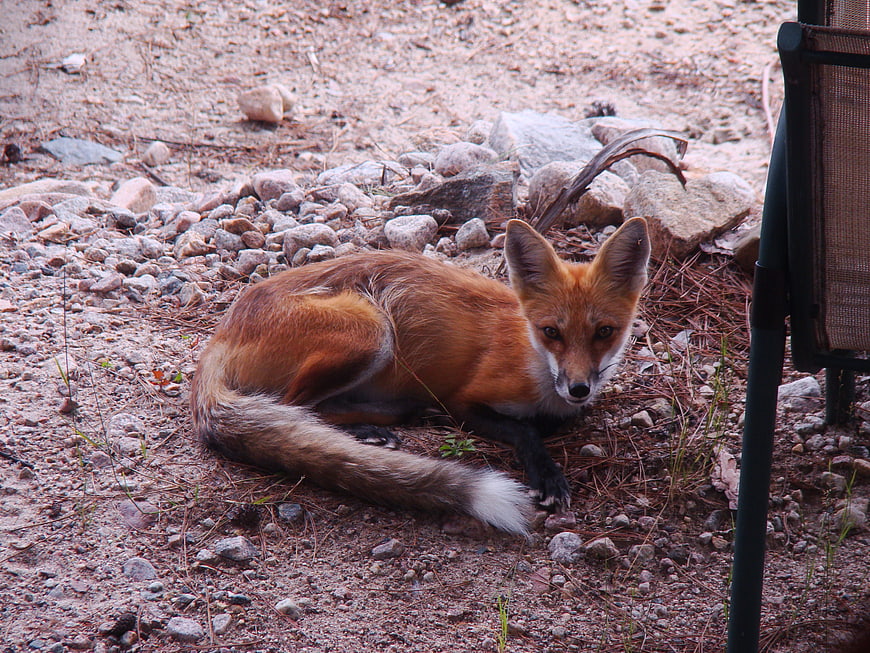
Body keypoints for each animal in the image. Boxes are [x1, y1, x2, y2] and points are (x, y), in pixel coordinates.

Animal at [190, 217, 650, 536]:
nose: (578, 388)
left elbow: (555, 420)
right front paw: (546, 472)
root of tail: (224, 329)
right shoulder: (464, 399)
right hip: (371, 330)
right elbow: (527, 430)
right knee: (296, 406)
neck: (531, 360)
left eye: (604, 332)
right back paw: (367, 432)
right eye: (551, 331)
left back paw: (395, 419)